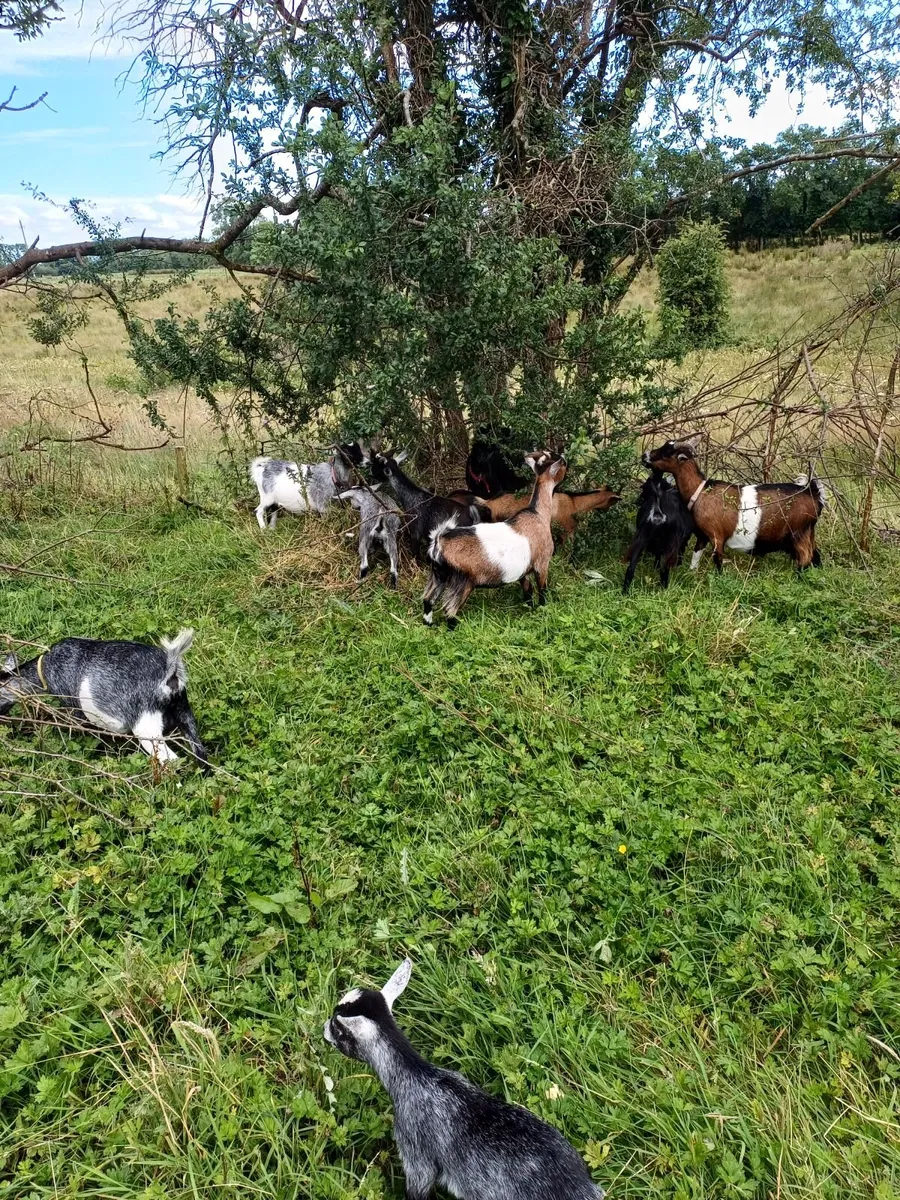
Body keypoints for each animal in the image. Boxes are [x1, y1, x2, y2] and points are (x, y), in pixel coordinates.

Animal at [0, 629, 209, 769]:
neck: (43, 669)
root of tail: (170, 670)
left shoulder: (73, 705)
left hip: (145, 725)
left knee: (170, 760)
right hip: (184, 712)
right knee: (201, 754)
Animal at [425, 451, 566, 628]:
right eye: (555, 458)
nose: (565, 461)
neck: (538, 514)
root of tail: (439, 543)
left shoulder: (523, 572)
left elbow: (528, 591)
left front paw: (530, 609)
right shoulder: (542, 563)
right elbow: (542, 591)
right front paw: (542, 610)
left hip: (438, 575)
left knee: (427, 599)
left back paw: (429, 625)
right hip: (463, 580)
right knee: (449, 610)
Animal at [644, 441, 826, 571]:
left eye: (667, 453)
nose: (644, 456)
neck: (701, 491)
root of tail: (812, 492)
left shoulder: (717, 536)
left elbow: (718, 561)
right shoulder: (702, 536)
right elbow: (695, 558)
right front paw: (691, 575)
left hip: (799, 533)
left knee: (805, 558)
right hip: (809, 532)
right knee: (816, 556)